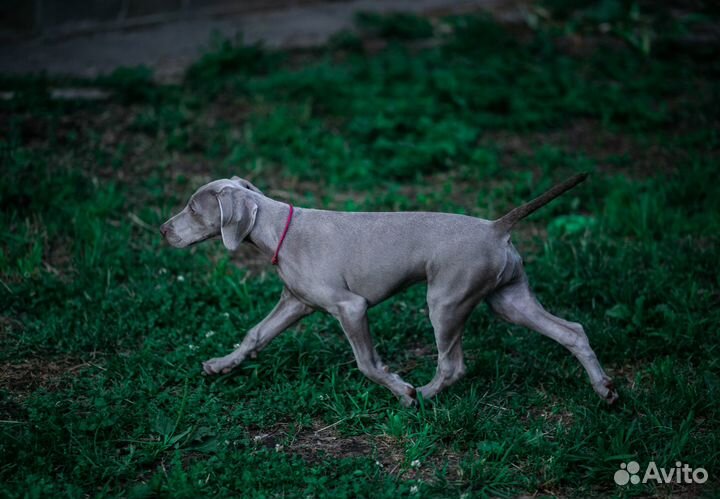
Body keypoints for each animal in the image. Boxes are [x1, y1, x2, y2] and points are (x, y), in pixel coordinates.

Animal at [159, 175, 620, 406]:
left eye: (193, 209)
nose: (163, 230)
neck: (280, 228)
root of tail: (496, 227)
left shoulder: (351, 307)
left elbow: (367, 364)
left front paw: (402, 388)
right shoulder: (296, 304)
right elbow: (254, 334)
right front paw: (221, 365)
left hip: (445, 301)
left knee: (453, 365)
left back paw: (424, 397)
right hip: (508, 300)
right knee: (573, 331)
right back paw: (605, 390)